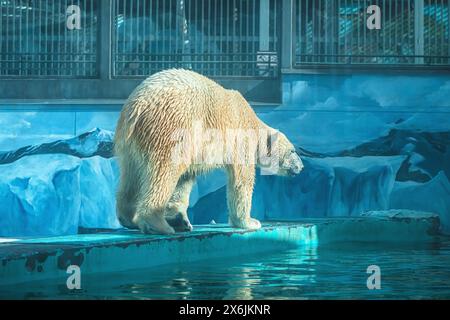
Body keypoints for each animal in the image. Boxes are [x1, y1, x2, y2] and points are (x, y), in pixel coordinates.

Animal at [113, 69, 302, 235]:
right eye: (293, 151)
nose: (301, 167)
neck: (253, 122)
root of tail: (138, 105)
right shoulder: (240, 141)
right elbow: (242, 181)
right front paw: (250, 222)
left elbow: (184, 180)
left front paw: (179, 220)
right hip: (171, 127)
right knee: (164, 173)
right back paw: (157, 224)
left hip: (129, 142)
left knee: (131, 176)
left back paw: (128, 218)